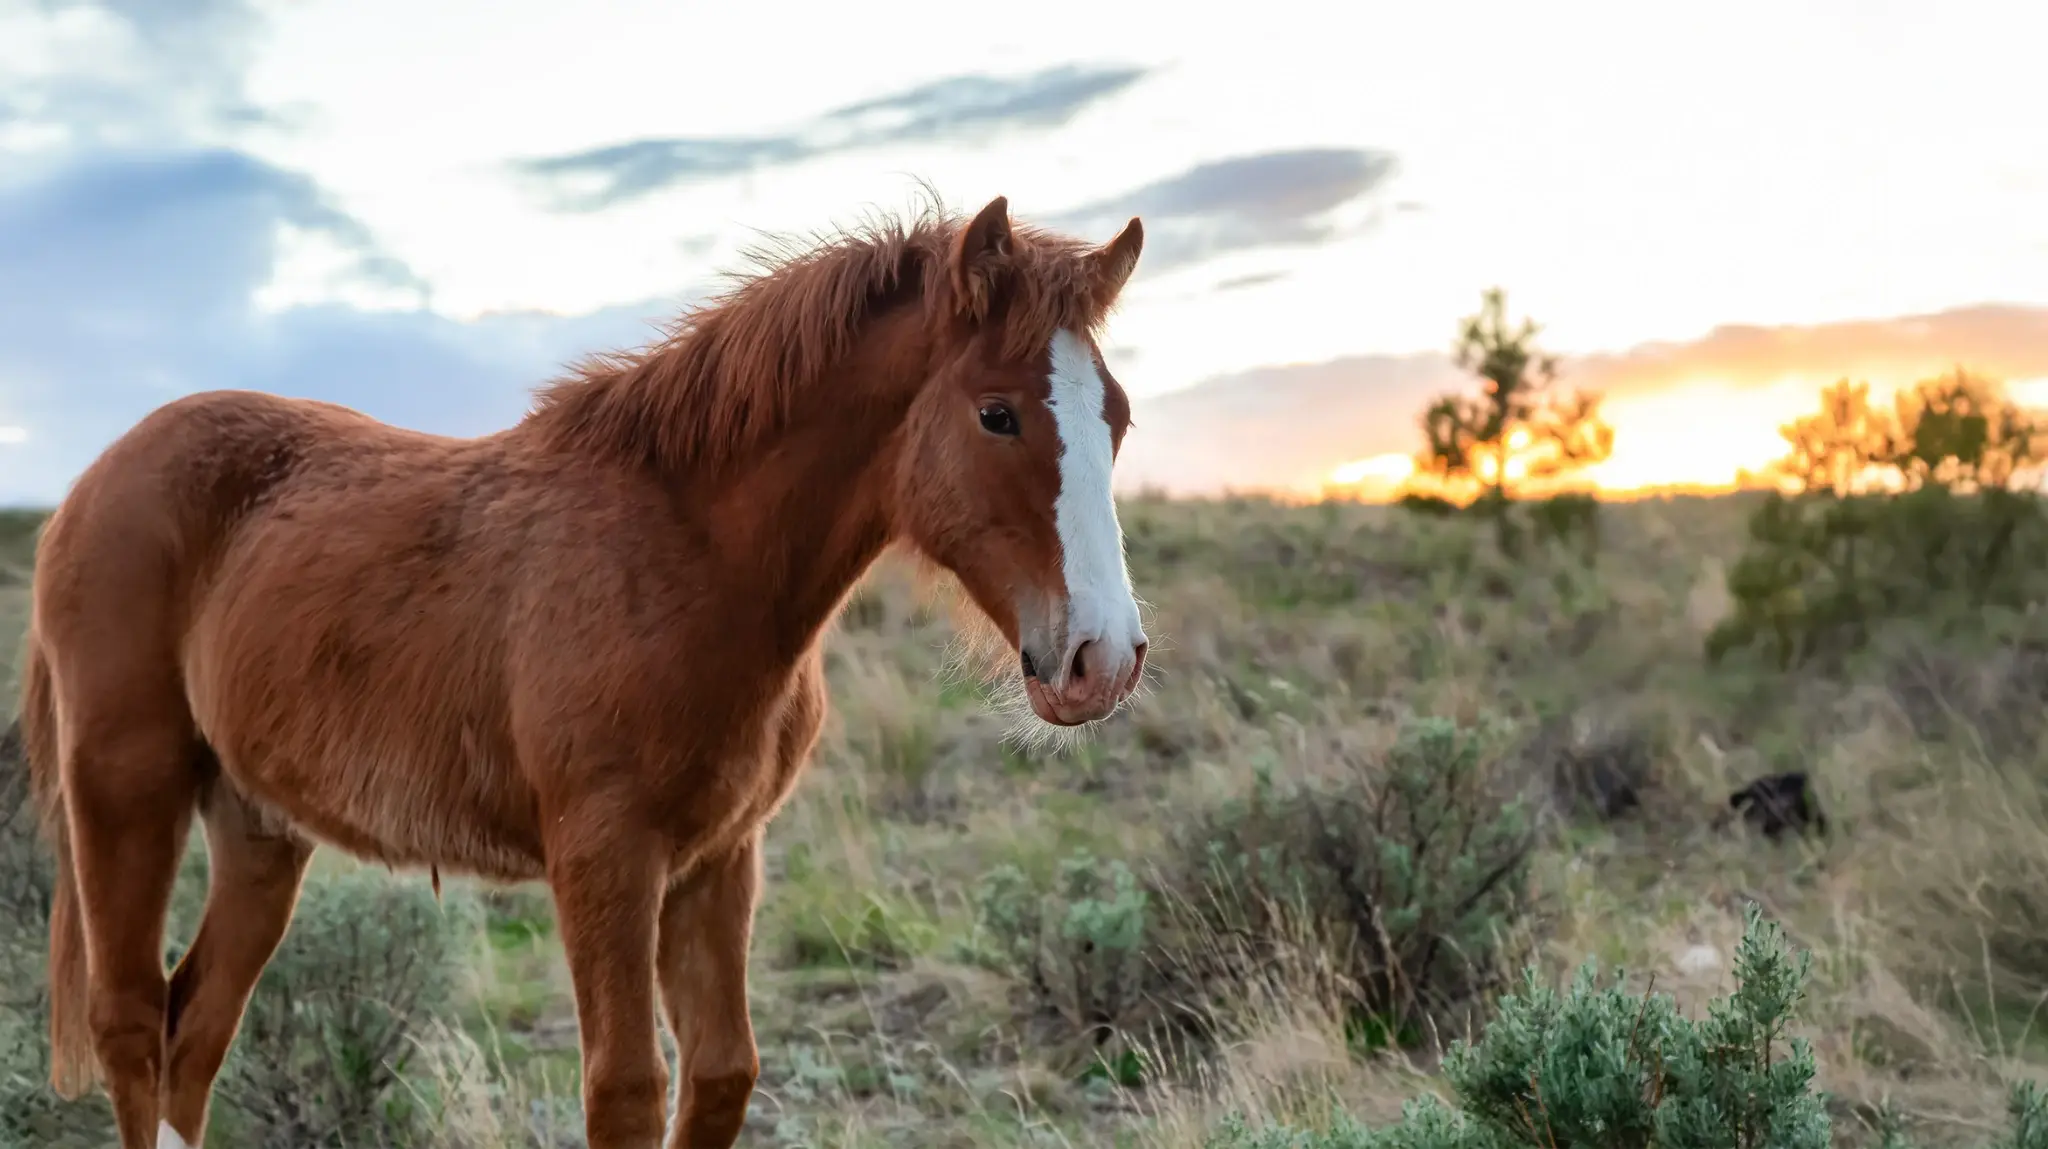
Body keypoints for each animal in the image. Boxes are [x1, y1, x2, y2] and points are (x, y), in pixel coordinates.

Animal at [14, 193, 1151, 1149]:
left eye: (1118, 417)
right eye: (996, 413)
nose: (1103, 659)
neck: (690, 556)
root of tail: (90, 485)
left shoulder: (718, 857)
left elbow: (720, 1074)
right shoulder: (605, 856)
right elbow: (626, 1089)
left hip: (256, 826)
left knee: (195, 1027)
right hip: (126, 790)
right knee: (129, 1022)